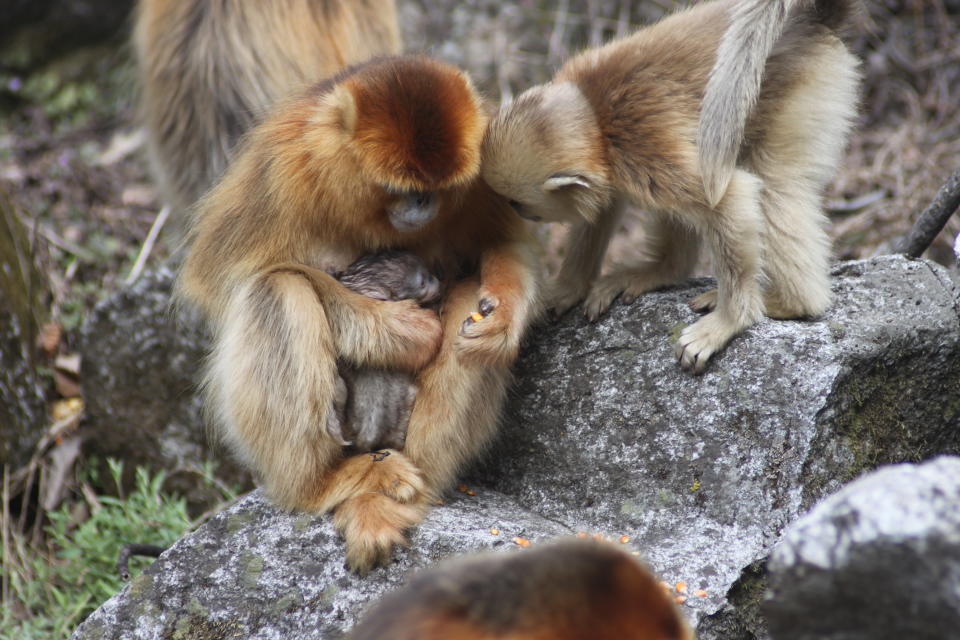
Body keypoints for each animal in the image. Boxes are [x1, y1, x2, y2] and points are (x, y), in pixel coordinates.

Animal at [484, 0, 860, 372]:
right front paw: (568, 286)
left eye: (517, 204)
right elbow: (605, 205)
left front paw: (729, 322)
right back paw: (663, 271)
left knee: (771, 184)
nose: (522, 215)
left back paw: (791, 303)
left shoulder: (639, 149)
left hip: (800, 94)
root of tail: (812, 21)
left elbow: (726, 198)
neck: (598, 118)